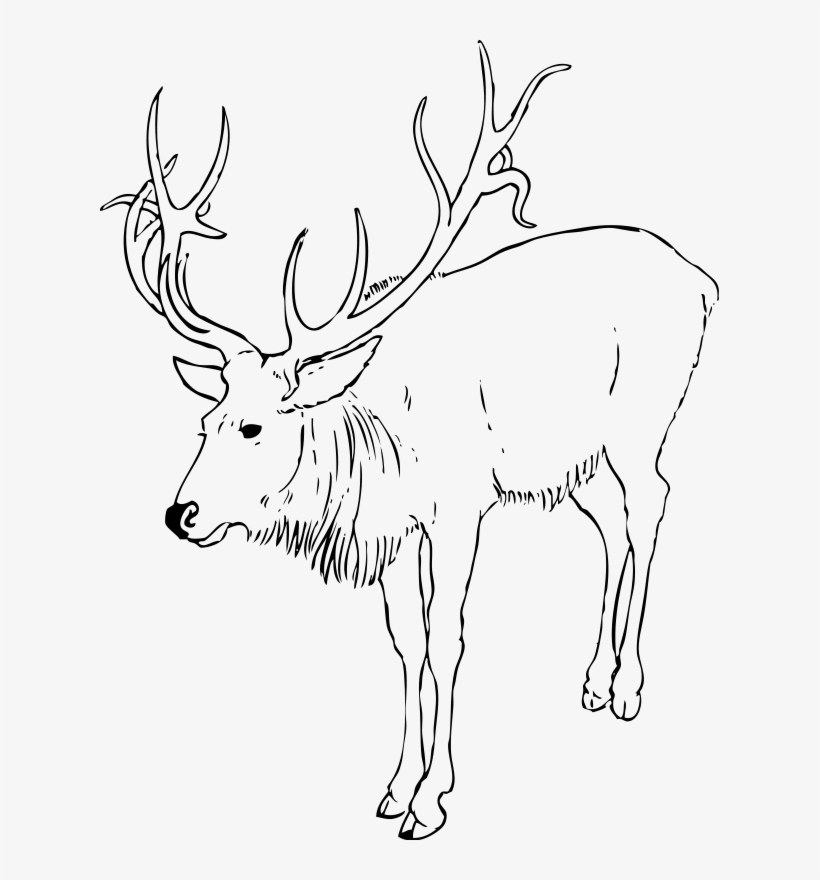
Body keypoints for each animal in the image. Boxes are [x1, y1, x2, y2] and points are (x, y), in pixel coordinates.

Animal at [102, 43, 718, 840]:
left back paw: (630, 689)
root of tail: (701, 282)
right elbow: (407, 642)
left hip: (643, 420)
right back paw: (592, 678)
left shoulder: (460, 509)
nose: (183, 514)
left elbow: (448, 636)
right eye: (205, 422)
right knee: (612, 525)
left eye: (254, 426)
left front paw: (433, 799)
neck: (377, 441)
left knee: (651, 505)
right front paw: (396, 786)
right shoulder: (397, 529)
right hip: (577, 458)